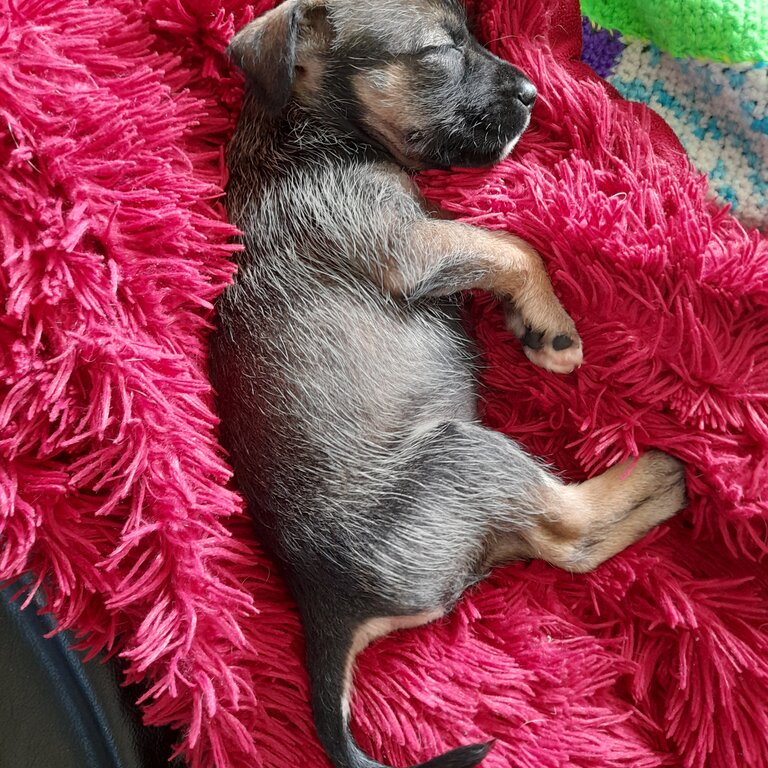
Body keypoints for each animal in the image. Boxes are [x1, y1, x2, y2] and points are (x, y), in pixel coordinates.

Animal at [208, 3, 684, 764]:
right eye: (438, 49)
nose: (530, 94)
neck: (299, 134)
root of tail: (327, 608)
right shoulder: (409, 243)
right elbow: (514, 247)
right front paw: (551, 327)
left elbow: (502, 246)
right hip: (465, 453)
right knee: (569, 535)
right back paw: (660, 477)